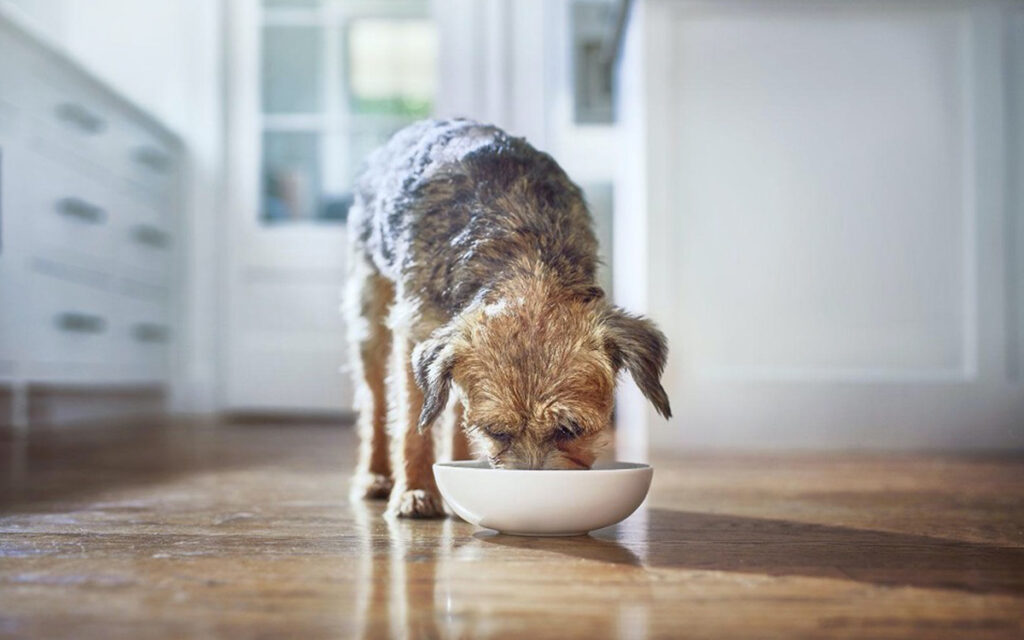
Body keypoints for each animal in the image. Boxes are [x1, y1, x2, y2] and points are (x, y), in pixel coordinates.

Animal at [344, 118, 671, 520]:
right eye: (496, 431)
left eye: (571, 428)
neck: (525, 253)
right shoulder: (414, 329)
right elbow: (412, 421)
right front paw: (415, 491)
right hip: (369, 312)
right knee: (374, 400)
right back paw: (374, 475)